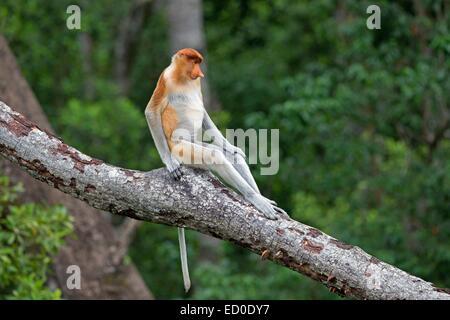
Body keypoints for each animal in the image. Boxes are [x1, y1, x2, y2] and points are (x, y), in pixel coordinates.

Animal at [145, 48, 288, 292]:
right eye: (193, 61)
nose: (200, 72)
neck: (183, 78)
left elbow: (204, 114)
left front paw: (234, 147)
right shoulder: (165, 79)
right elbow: (151, 111)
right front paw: (169, 163)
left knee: (227, 155)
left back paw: (261, 198)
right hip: (185, 150)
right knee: (214, 156)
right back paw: (255, 200)